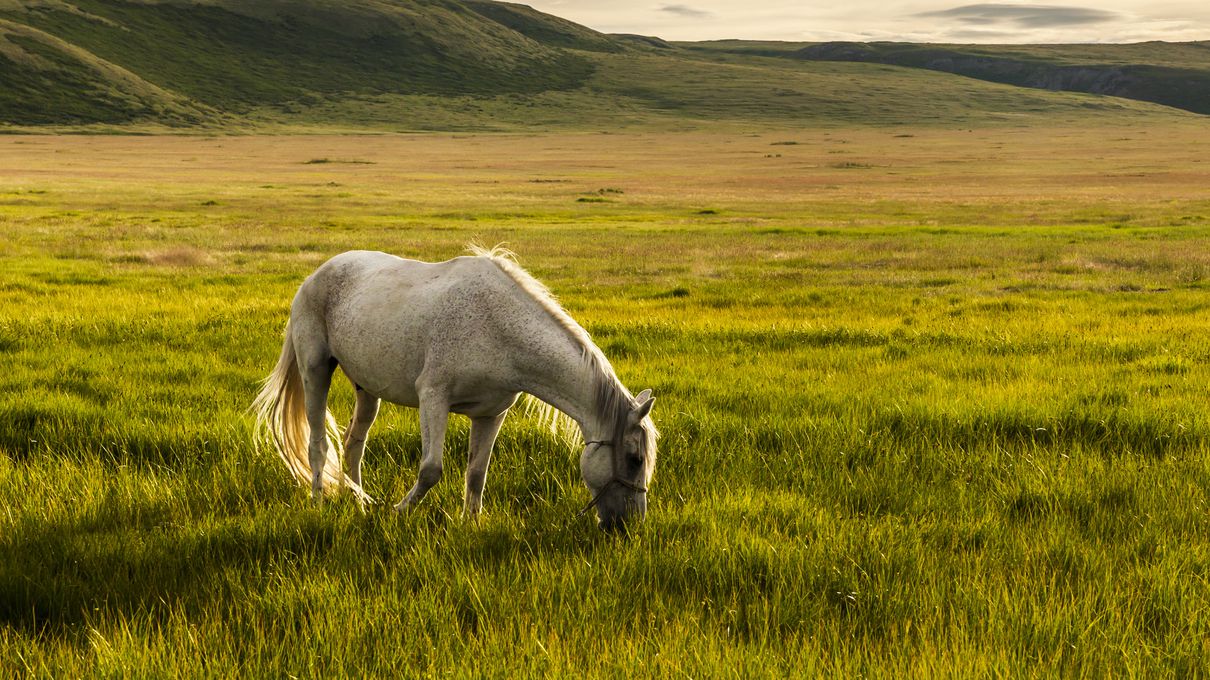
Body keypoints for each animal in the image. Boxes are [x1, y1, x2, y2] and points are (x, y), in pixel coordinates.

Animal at [251, 246, 658, 531]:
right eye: (635, 459)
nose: (628, 527)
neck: (499, 327)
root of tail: (318, 273)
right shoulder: (433, 397)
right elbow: (431, 469)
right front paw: (399, 511)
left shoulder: (491, 413)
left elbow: (477, 473)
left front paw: (469, 524)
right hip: (316, 370)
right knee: (317, 444)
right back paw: (319, 502)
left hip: (366, 388)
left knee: (354, 443)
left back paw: (360, 503)